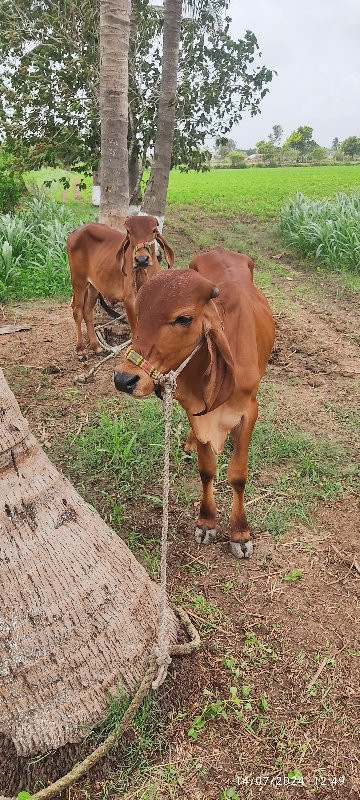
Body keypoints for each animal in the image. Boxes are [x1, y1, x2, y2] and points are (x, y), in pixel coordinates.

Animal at [68, 214, 175, 354]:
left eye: (153, 230)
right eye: (129, 232)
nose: (141, 260)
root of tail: (75, 232)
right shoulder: (129, 300)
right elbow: (135, 333)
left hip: (93, 286)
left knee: (87, 311)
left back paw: (96, 346)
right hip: (78, 281)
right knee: (77, 311)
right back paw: (80, 348)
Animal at [114, 247, 274, 560]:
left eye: (183, 319)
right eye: (139, 314)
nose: (124, 379)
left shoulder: (249, 411)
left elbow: (238, 475)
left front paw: (240, 533)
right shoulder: (196, 412)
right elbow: (207, 470)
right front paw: (207, 521)